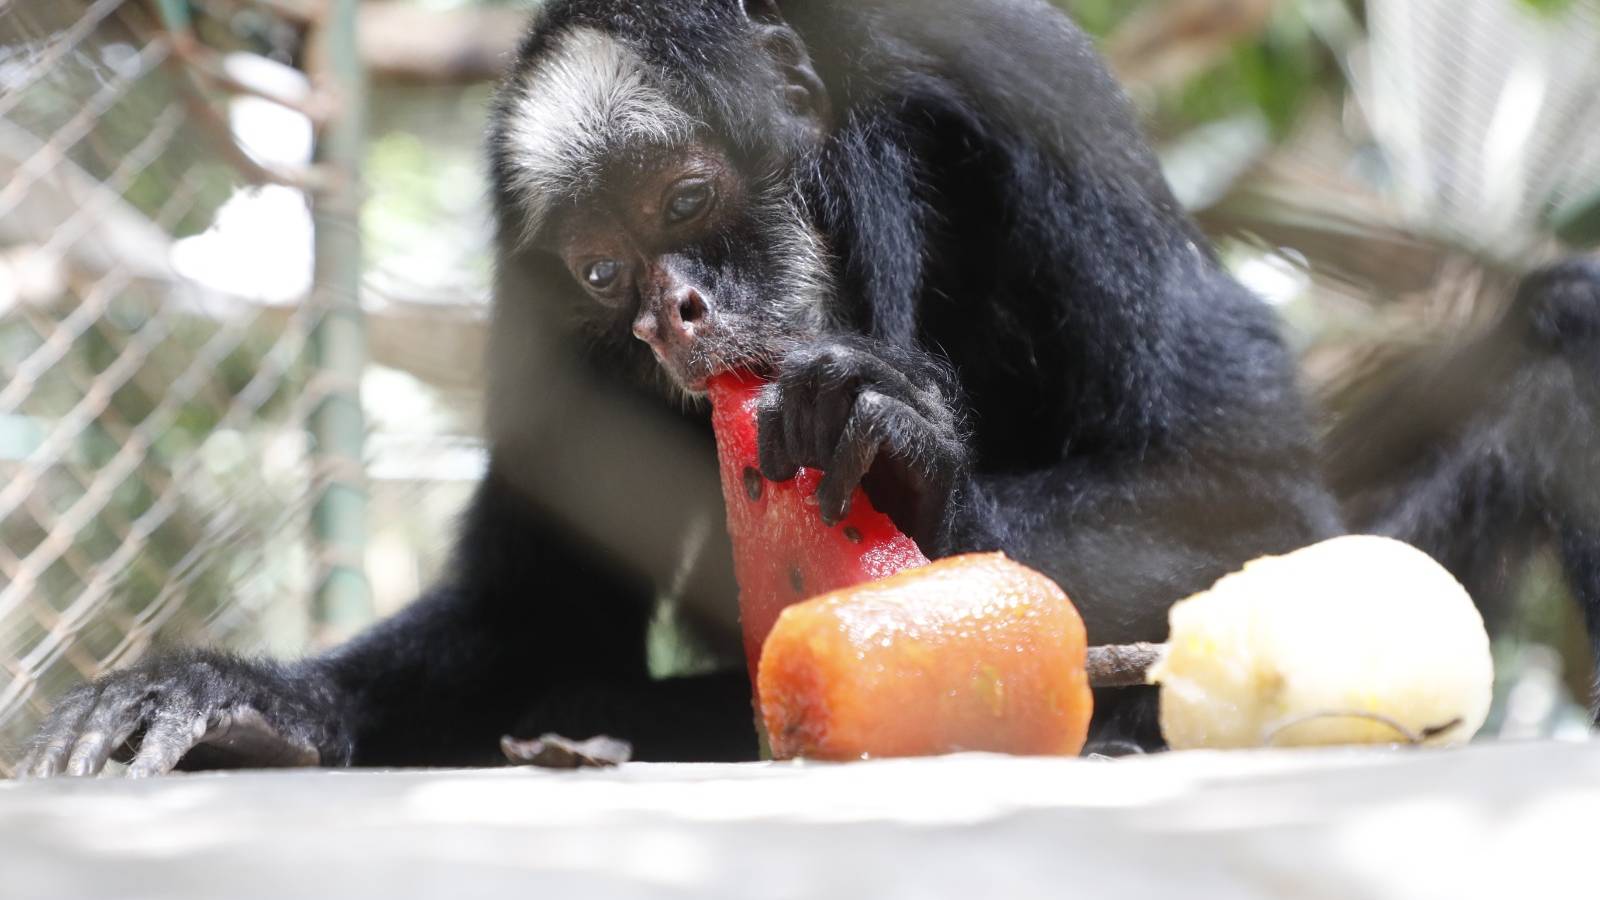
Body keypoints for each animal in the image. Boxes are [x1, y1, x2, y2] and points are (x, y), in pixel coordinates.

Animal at [31, 0, 1580, 775]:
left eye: (689, 195)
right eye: (603, 269)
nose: (674, 314)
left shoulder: (1016, 80)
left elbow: (1247, 484)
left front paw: (910, 457)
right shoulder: (530, 286)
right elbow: (538, 616)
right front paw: (248, 703)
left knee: (1566, 324)